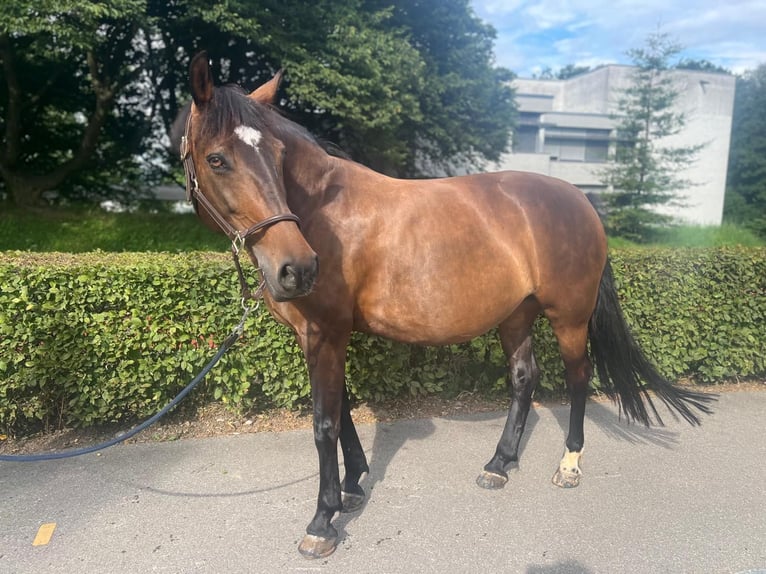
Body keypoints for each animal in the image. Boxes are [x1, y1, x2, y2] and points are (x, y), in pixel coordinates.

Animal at [172, 53, 712, 560]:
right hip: (516, 314)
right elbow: (342, 410)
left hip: (569, 317)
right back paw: (499, 464)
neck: (322, 212)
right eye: (217, 159)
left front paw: (322, 522)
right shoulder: (323, 336)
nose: (298, 269)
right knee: (525, 378)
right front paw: (353, 487)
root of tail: (582, 202)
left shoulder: (326, 333)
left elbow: (324, 423)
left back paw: (569, 465)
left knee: (579, 377)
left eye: (278, 154)